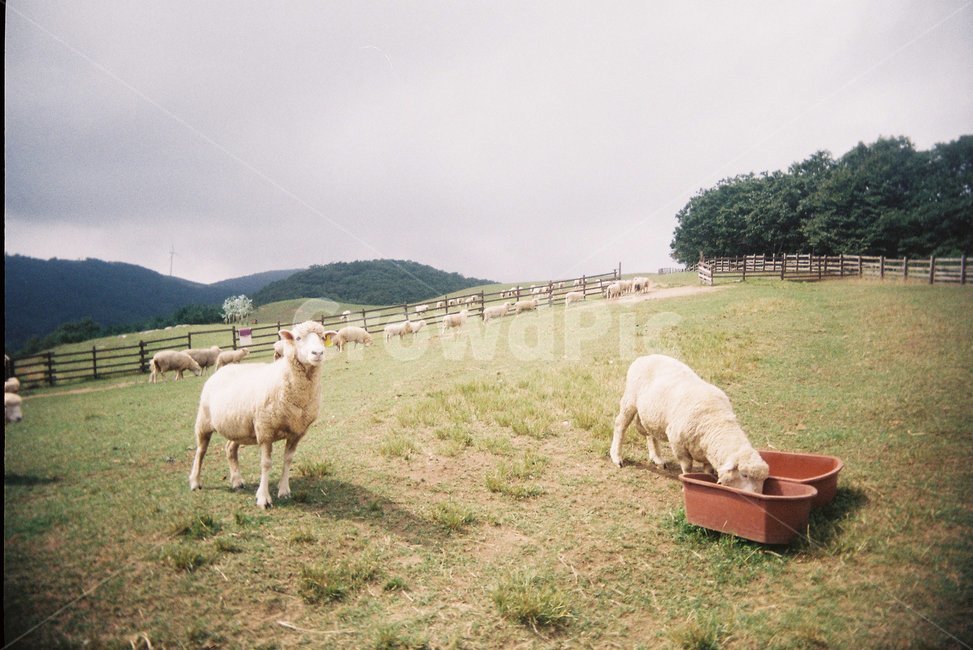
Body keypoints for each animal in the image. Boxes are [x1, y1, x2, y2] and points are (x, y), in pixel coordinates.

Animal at [189, 321, 338, 508]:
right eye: (297, 338)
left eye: (323, 337)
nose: (318, 353)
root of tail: (223, 369)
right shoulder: (265, 429)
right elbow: (266, 464)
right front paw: (263, 498)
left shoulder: (297, 431)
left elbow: (288, 459)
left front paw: (284, 490)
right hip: (203, 421)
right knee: (200, 451)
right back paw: (195, 482)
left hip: (239, 427)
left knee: (230, 449)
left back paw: (237, 481)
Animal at [610, 354, 769, 493]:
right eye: (744, 475)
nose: (757, 495)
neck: (716, 421)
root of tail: (645, 357)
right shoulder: (678, 443)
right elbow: (687, 467)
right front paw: (686, 483)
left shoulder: (707, 454)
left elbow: (708, 470)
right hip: (629, 400)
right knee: (620, 425)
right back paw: (616, 457)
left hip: (652, 413)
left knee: (650, 434)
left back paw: (657, 459)